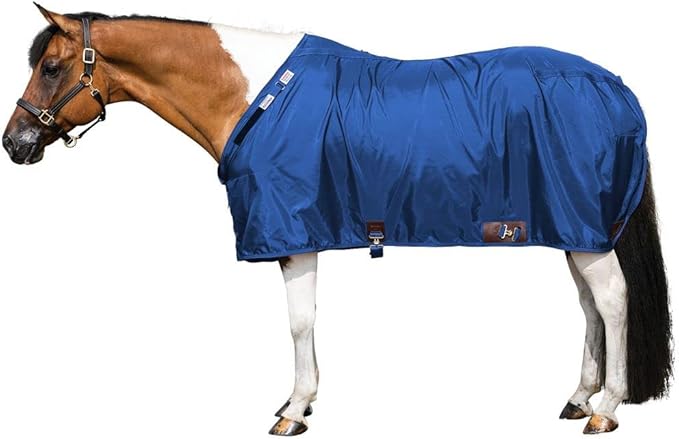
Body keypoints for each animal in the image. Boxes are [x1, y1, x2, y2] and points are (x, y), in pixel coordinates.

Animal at [2, 5, 672, 436]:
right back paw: (579, 398)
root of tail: (616, 87)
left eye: (52, 67)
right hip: (574, 230)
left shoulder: (295, 236)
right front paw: (301, 401)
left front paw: (293, 410)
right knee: (589, 305)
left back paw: (607, 407)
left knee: (612, 300)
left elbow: (299, 323)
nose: (15, 142)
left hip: (585, 231)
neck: (254, 96)